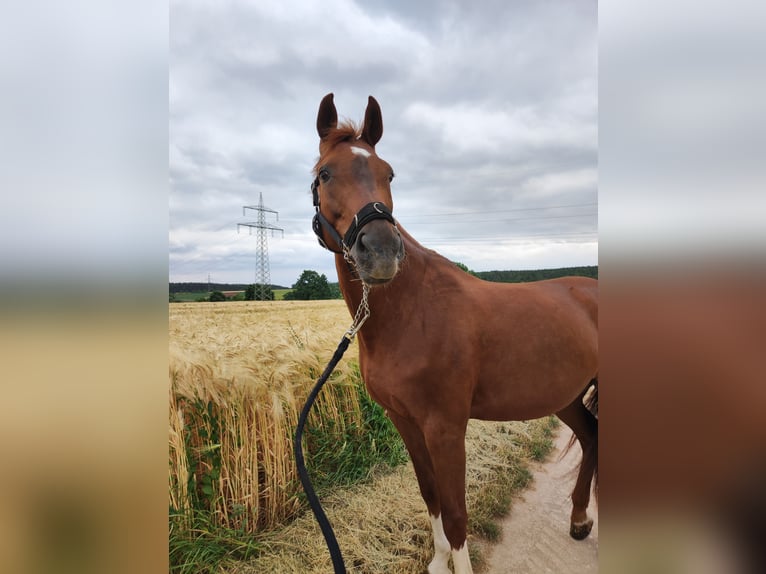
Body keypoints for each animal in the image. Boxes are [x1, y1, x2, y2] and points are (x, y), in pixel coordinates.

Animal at [308, 92, 596, 572]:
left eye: (388, 173)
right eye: (325, 173)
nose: (381, 251)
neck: (413, 314)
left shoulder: (446, 426)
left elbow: (458, 511)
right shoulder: (405, 422)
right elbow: (432, 498)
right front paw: (438, 561)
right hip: (568, 396)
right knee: (591, 436)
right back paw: (578, 521)